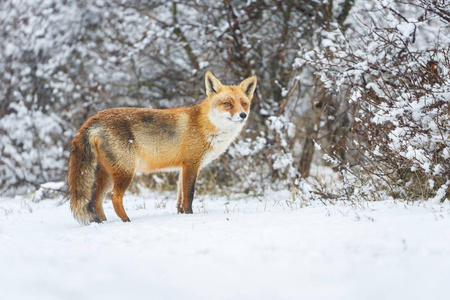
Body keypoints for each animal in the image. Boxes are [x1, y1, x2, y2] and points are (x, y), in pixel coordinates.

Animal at [67, 72, 256, 223]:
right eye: (227, 104)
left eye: (244, 103)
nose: (243, 115)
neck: (206, 125)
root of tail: (94, 118)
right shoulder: (191, 164)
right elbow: (189, 196)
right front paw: (190, 216)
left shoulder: (182, 168)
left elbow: (180, 198)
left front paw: (181, 215)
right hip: (125, 172)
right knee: (115, 198)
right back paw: (126, 221)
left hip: (107, 175)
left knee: (96, 200)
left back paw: (102, 222)